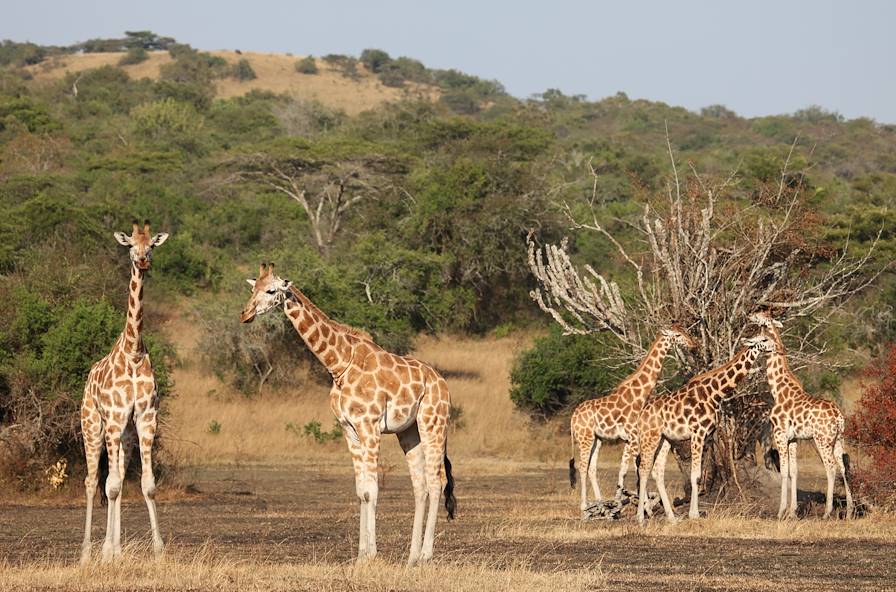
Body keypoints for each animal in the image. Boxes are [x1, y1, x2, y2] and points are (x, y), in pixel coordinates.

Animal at [79, 222, 167, 564]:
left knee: (112, 478)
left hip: (124, 436)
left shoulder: (145, 418)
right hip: (93, 426)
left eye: (152, 245)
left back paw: (113, 549)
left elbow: (147, 485)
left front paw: (159, 550)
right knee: (93, 482)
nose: (142, 261)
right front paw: (104, 553)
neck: (132, 351)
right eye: (130, 245)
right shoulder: (114, 419)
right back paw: (87, 554)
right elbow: (112, 486)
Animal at [240, 264, 456, 564]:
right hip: (408, 432)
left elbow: (372, 490)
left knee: (436, 482)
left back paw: (425, 556)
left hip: (432, 423)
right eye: (253, 288)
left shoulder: (370, 426)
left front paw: (371, 555)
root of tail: (443, 384)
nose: (245, 314)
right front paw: (361, 554)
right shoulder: (349, 430)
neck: (339, 364)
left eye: (271, 290)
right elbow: (361, 491)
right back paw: (411, 557)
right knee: (420, 485)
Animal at [572, 324, 696, 512]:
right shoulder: (633, 436)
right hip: (584, 438)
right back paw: (584, 506)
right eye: (677, 335)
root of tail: (573, 417)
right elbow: (633, 468)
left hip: (596, 439)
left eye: (685, 331)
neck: (640, 394)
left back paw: (600, 503)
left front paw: (629, 503)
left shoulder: (631, 438)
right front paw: (640, 506)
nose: (693, 345)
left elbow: (629, 468)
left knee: (592, 467)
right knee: (582, 465)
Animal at [636, 336, 776, 524]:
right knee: (643, 468)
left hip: (665, 439)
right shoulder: (697, 432)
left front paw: (693, 513)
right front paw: (694, 514)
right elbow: (695, 475)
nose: (775, 347)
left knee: (657, 471)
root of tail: (642, 413)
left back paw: (671, 518)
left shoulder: (708, 436)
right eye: (764, 339)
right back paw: (641, 518)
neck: (715, 393)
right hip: (650, 436)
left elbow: (700, 474)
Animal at [748, 310, 856, 520]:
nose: (749, 315)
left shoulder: (780, 434)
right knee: (843, 467)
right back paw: (849, 512)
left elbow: (783, 472)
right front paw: (792, 511)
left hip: (822, 440)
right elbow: (794, 471)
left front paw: (781, 512)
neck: (778, 390)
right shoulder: (793, 438)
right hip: (839, 439)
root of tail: (839, 417)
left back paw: (827, 512)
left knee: (830, 468)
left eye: (762, 336)